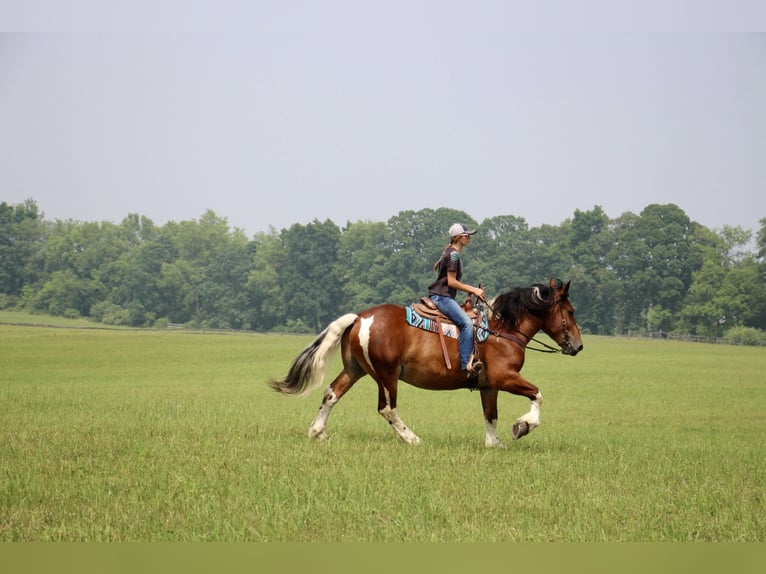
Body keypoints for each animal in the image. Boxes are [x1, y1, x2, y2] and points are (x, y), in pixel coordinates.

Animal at [268, 280, 584, 450]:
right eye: (570, 311)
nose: (578, 346)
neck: (500, 329)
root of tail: (359, 318)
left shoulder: (488, 385)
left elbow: (491, 415)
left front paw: (494, 443)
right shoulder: (504, 377)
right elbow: (537, 394)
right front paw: (523, 426)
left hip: (355, 369)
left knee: (331, 393)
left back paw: (317, 431)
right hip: (387, 375)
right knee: (387, 408)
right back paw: (412, 438)